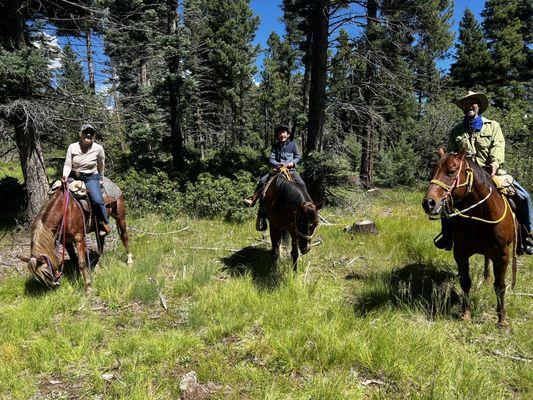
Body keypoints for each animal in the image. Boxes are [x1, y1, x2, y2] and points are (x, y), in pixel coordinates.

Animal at [420, 148, 516, 326]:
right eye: (432, 171)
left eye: (451, 172)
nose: (428, 203)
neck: (480, 215)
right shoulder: (460, 252)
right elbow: (465, 281)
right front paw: (466, 314)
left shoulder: (502, 255)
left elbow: (500, 286)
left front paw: (502, 320)